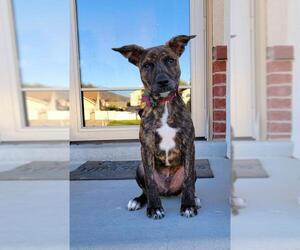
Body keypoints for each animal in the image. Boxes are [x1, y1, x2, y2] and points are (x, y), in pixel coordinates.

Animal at [113, 35, 202, 219]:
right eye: (147, 65)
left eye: (170, 60)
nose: (162, 81)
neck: (164, 104)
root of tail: (167, 190)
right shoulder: (146, 148)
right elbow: (151, 182)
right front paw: (154, 208)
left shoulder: (189, 145)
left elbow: (188, 180)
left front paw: (188, 205)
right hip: (139, 167)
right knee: (146, 190)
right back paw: (138, 200)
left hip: (194, 167)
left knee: (187, 184)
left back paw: (195, 198)